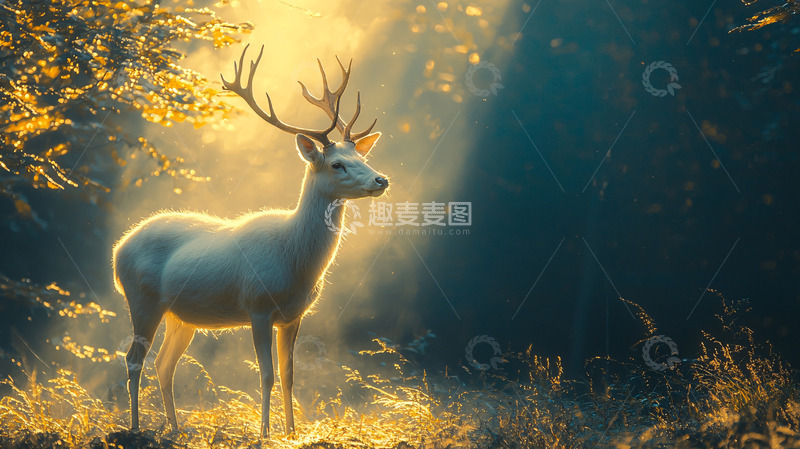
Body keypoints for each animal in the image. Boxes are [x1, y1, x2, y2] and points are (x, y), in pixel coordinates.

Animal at [112, 44, 389, 438]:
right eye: (337, 164)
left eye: (361, 156)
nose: (381, 180)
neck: (296, 261)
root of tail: (118, 249)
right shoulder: (257, 305)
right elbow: (267, 375)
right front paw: (265, 433)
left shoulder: (293, 315)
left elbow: (289, 375)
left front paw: (292, 432)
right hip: (142, 299)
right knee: (134, 359)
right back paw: (136, 427)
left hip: (181, 316)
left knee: (164, 364)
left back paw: (176, 428)